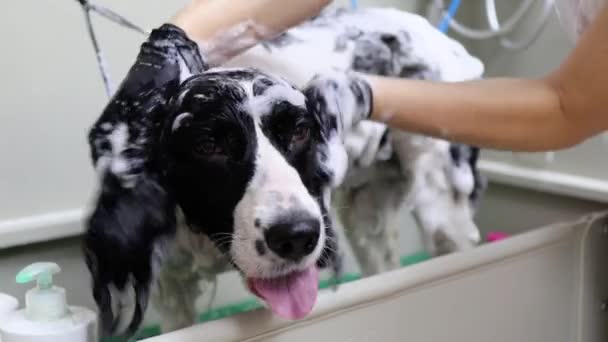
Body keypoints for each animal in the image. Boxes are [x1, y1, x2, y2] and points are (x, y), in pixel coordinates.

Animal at [84, 6, 484, 338]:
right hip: (367, 216)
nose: (296, 236)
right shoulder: (173, 290)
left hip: (441, 207)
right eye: (208, 145)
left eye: (299, 131)